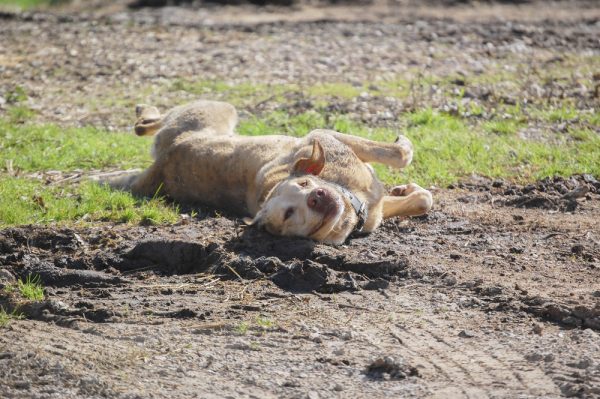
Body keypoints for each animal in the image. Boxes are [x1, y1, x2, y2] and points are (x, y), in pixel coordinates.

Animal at [112, 101, 432, 244]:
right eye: (288, 214)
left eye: (305, 182)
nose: (317, 196)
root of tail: (163, 164)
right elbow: (402, 155)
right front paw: (404, 147)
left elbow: (421, 197)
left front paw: (406, 190)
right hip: (215, 109)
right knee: (145, 124)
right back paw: (145, 110)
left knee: (142, 127)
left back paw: (144, 112)